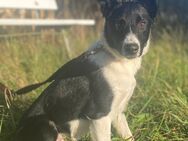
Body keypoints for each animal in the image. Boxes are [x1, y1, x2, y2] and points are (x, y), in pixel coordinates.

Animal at [13, 0, 157, 140]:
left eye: (143, 23)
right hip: (45, 125)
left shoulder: (118, 113)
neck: (117, 60)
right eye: (118, 24)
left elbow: (129, 136)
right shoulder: (99, 115)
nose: (131, 48)